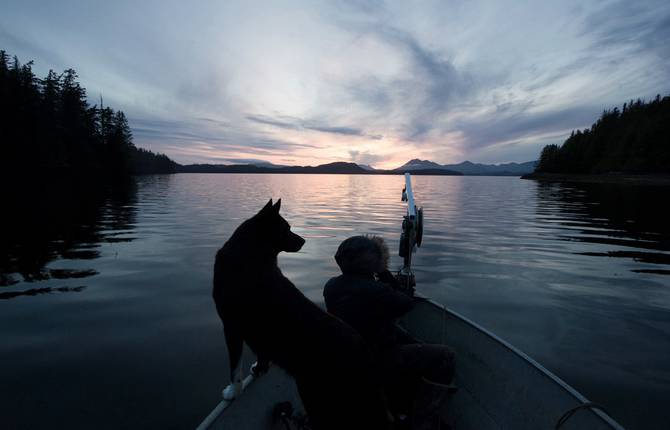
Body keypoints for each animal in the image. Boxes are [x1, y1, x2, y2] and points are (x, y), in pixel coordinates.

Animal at [215, 200, 392, 428]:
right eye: (286, 229)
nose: (303, 240)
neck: (250, 255)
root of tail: (367, 355)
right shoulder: (256, 334)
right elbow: (261, 354)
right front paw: (259, 368)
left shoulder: (231, 326)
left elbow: (234, 367)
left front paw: (232, 391)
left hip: (314, 393)